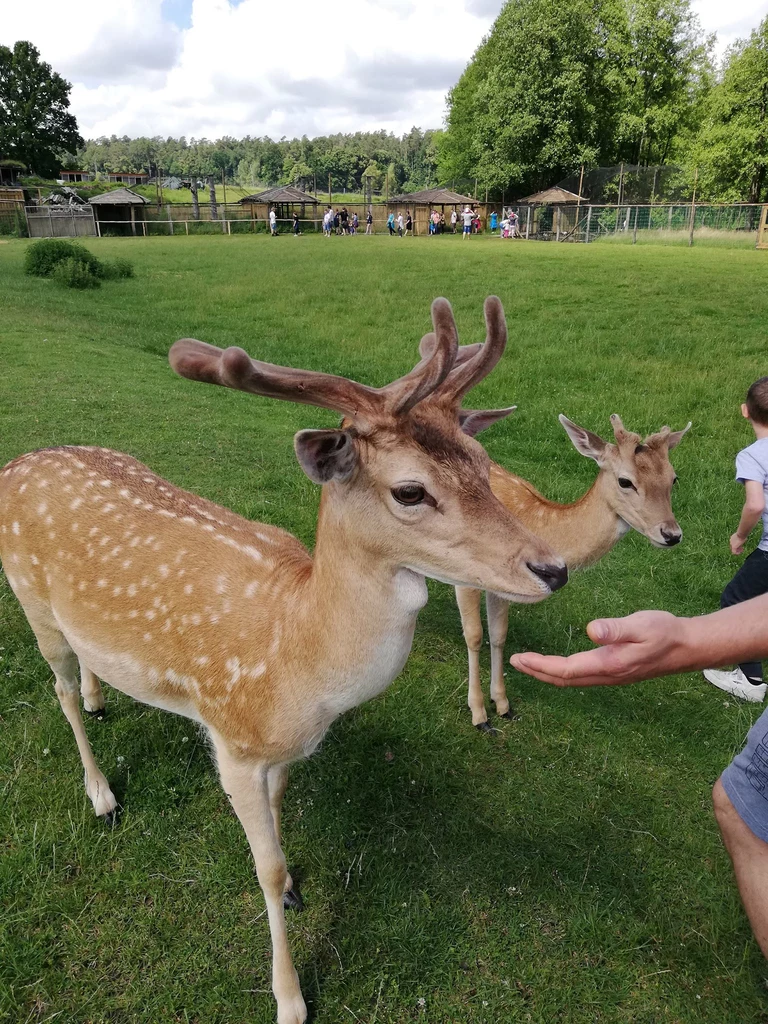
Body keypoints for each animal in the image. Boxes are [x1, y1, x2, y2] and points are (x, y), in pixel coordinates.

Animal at [0, 296, 565, 1024]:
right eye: (410, 491)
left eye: (481, 458)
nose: (552, 568)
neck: (300, 666)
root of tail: (16, 464)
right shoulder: (232, 741)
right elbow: (262, 868)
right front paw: (290, 995)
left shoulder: (284, 751)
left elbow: (279, 813)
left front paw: (298, 882)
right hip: (30, 597)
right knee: (60, 690)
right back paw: (101, 794)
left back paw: (103, 697)